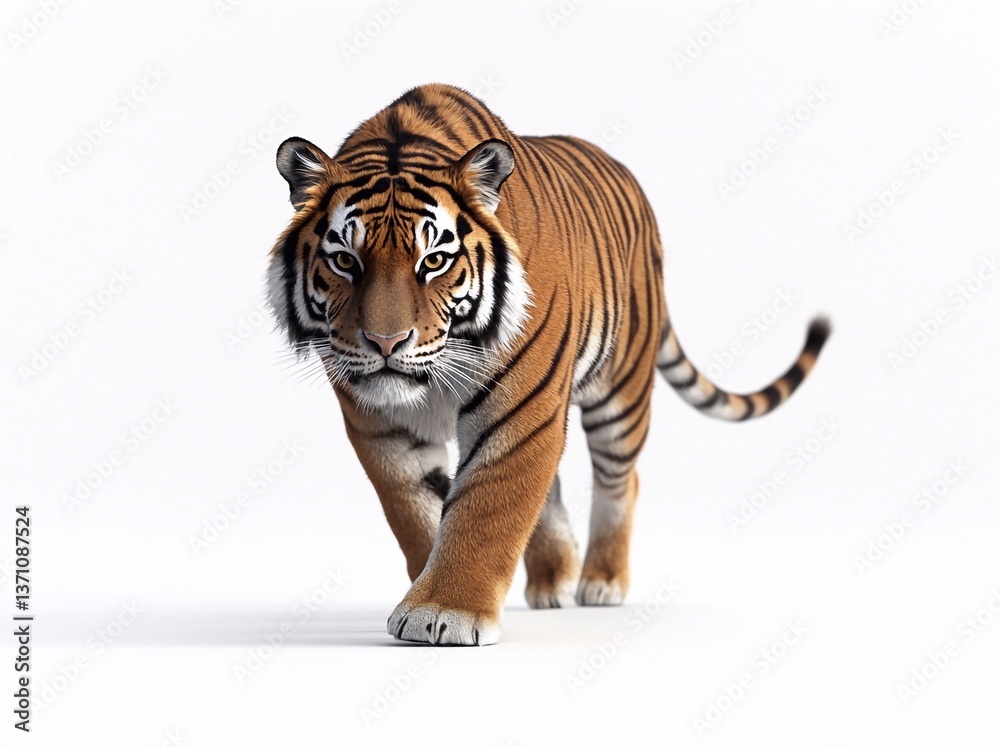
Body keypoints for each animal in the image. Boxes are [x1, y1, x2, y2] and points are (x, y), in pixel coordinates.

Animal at [266, 83, 829, 645]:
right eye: (345, 260)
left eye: (434, 261)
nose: (386, 342)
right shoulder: (381, 424)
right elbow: (416, 509)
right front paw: (426, 593)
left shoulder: (520, 407)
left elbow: (487, 507)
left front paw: (445, 610)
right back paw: (553, 581)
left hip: (620, 392)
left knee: (622, 479)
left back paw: (602, 582)